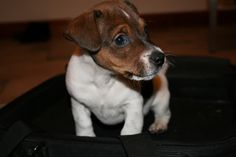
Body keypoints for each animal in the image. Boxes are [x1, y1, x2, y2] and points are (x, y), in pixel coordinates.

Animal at [65, 0, 171, 136]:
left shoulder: (133, 104)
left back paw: (159, 124)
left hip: (161, 99)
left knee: (164, 113)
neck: (103, 79)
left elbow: (129, 130)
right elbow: (83, 124)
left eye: (146, 29)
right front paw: (86, 136)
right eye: (120, 39)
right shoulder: (78, 103)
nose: (161, 58)